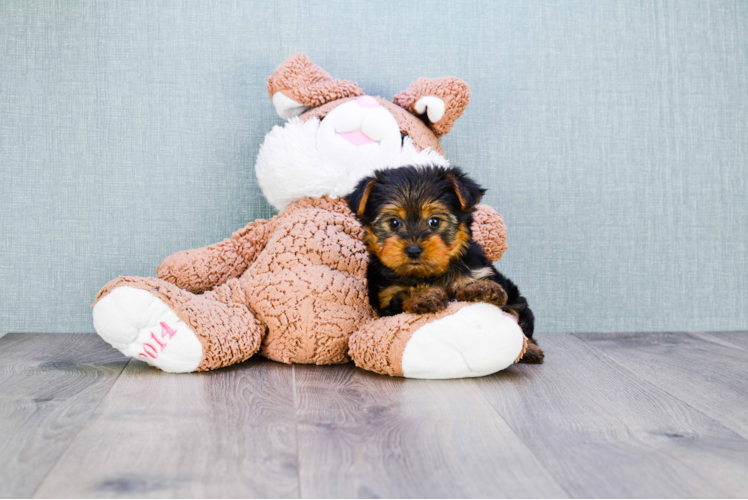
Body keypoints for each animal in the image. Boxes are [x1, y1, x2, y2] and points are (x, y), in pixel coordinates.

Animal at [347, 165, 543, 363]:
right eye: (394, 222)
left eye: (434, 221)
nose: (413, 250)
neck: (430, 274)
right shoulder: (385, 300)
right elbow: (402, 296)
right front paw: (423, 296)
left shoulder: (478, 271)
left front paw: (482, 288)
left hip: (516, 298)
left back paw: (531, 349)